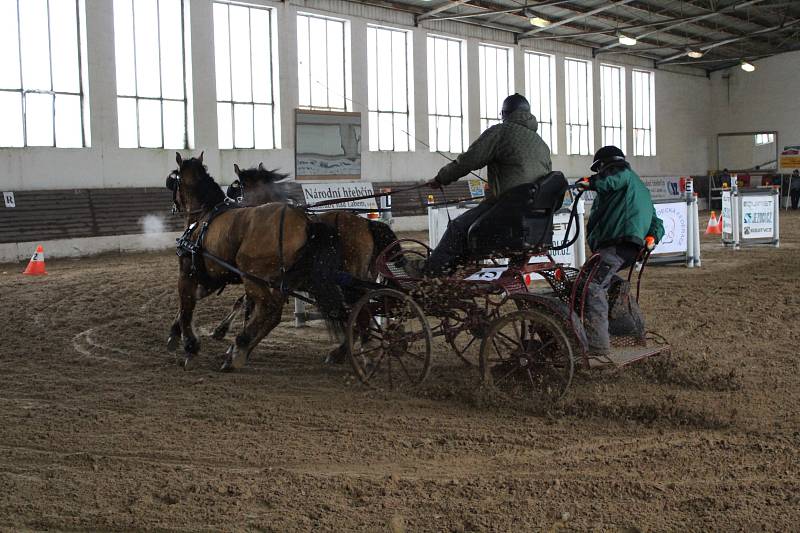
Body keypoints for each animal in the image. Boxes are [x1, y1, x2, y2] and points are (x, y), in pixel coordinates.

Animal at [167, 152, 346, 370]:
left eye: (174, 180)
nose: (174, 206)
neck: (204, 217)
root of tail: (306, 223)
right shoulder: (214, 277)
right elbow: (195, 300)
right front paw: (179, 333)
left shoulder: (188, 271)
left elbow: (186, 304)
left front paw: (189, 345)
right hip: (283, 282)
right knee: (274, 314)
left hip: (253, 275)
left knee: (268, 309)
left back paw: (238, 349)